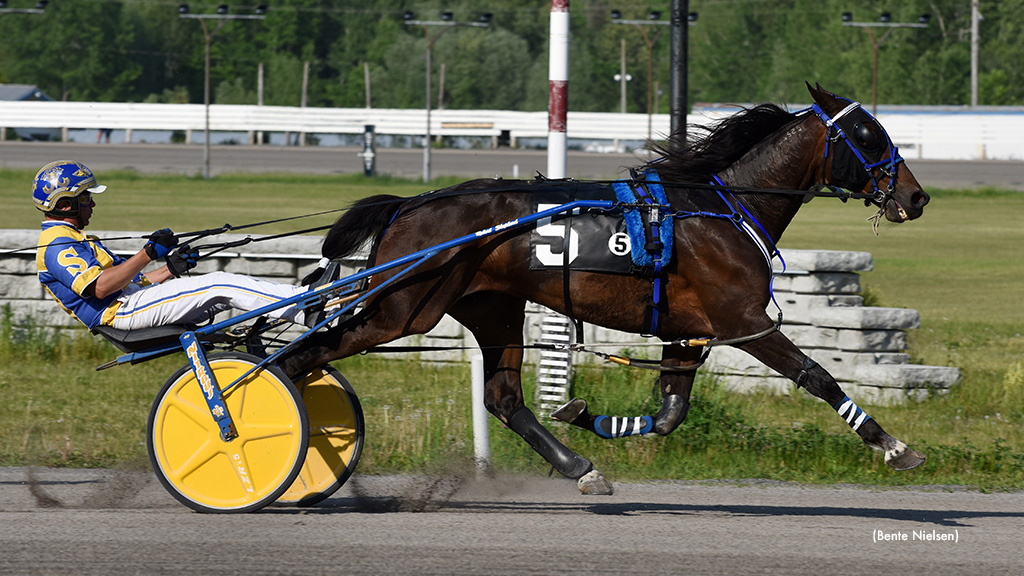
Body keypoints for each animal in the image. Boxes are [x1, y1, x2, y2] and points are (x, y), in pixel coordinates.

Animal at [276, 84, 933, 494]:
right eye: (869, 136)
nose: (917, 195)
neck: (720, 210)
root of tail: (409, 204)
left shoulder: (688, 333)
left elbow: (669, 414)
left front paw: (582, 412)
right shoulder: (745, 322)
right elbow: (818, 377)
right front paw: (894, 446)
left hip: (492, 307)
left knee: (504, 398)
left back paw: (580, 466)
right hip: (404, 307)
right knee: (307, 352)